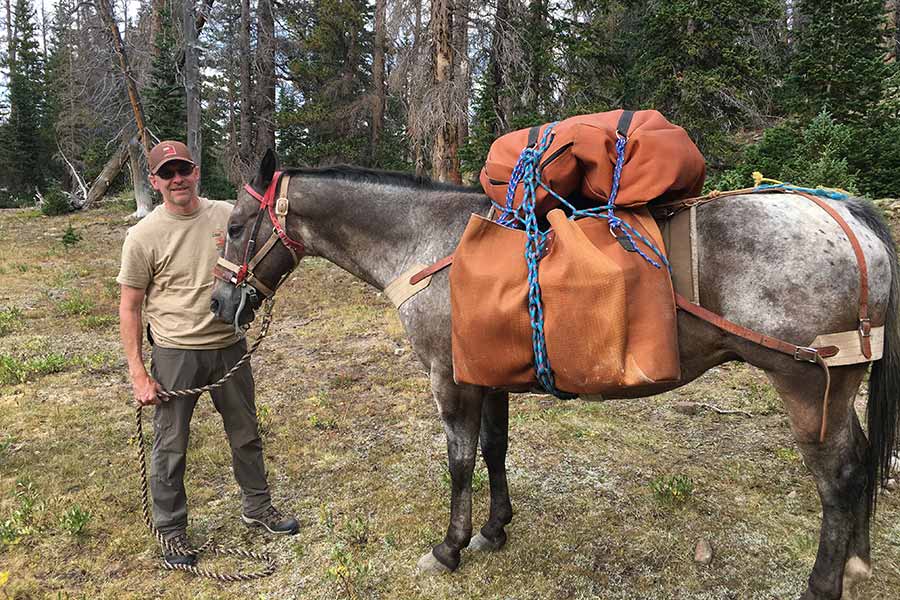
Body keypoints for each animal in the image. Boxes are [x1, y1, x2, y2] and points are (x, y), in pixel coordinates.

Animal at [207, 148, 896, 596]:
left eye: (236, 227)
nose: (219, 304)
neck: (434, 242)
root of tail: (845, 216)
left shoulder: (450, 379)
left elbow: (460, 461)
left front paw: (449, 547)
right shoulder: (485, 376)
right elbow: (494, 450)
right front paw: (493, 529)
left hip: (807, 385)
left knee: (838, 478)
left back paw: (823, 583)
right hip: (839, 388)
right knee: (861, 459)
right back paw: (856, 561)